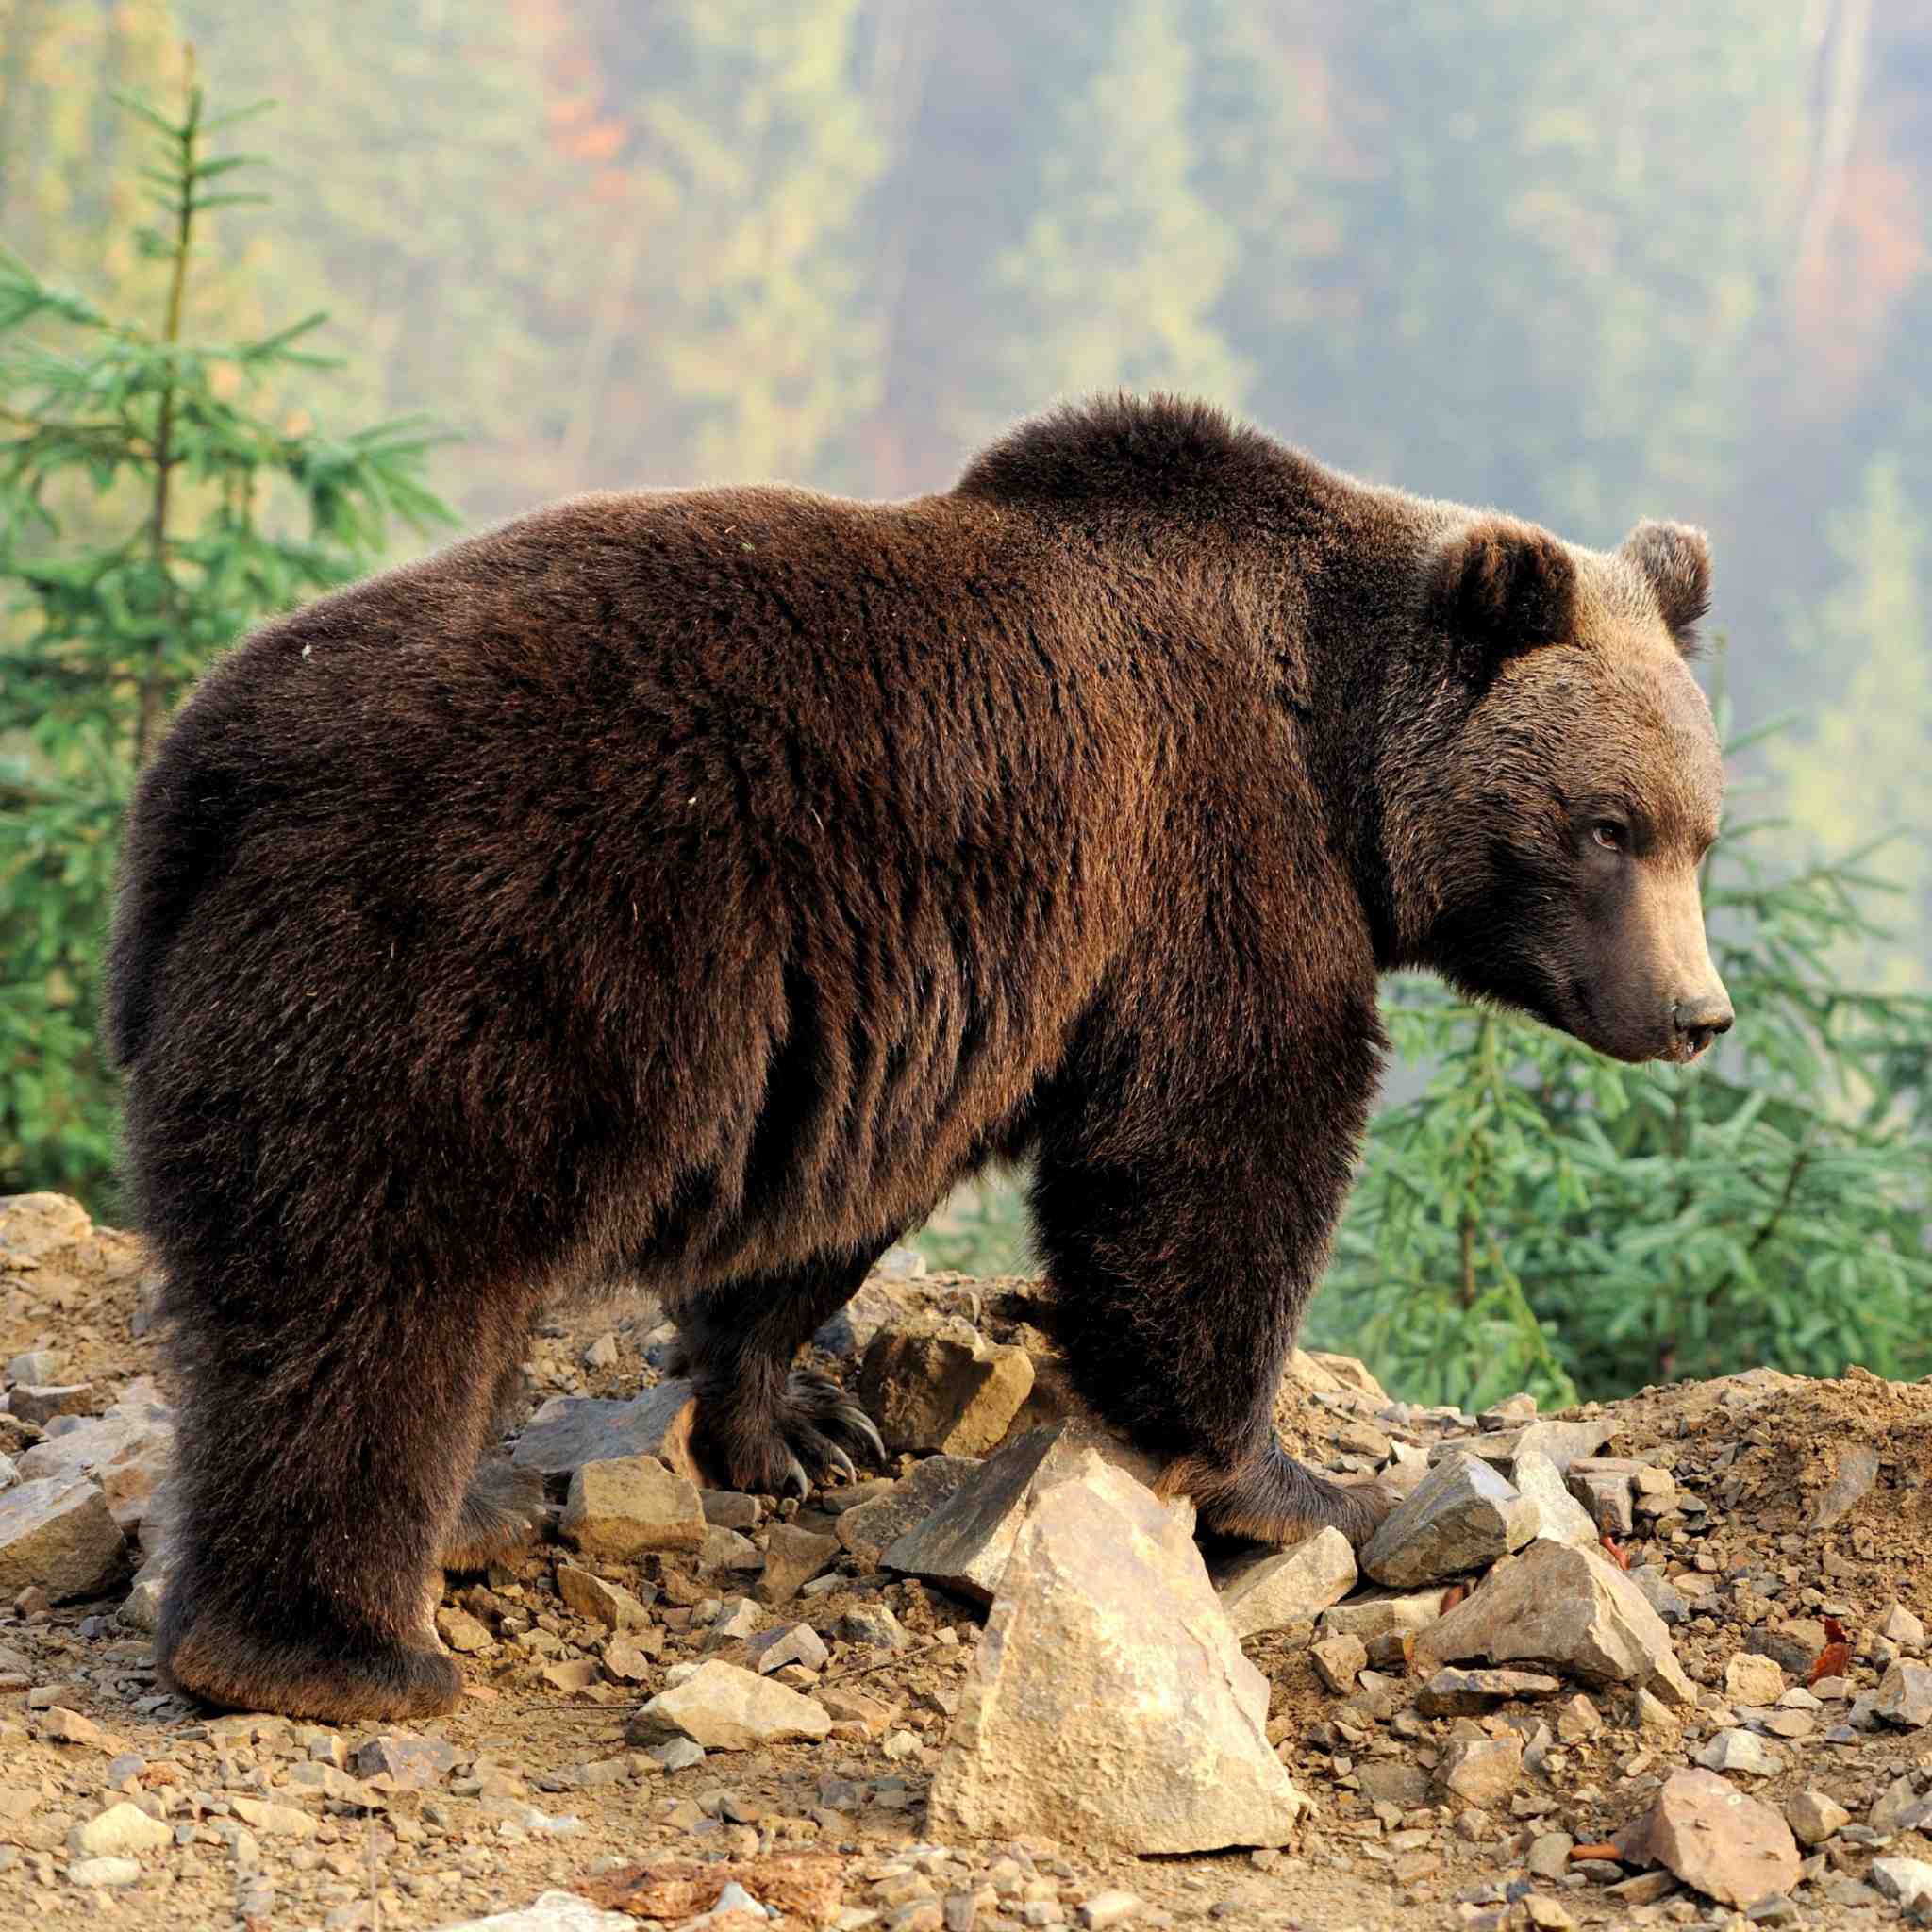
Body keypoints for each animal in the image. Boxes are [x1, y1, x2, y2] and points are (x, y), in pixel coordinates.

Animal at [106, 393, 1731, 1722]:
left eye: (1698, 829)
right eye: (1606, 826)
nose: (1695, 1012)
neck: (1333, 746)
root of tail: (203, 766)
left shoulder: (928, 998)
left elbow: (843, 1201)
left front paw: (797, 1425)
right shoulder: (1205, 857)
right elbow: (1218, 1144)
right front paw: (1291, 1483)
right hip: (477, 950)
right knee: (379, 1293)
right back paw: (336, 1649)